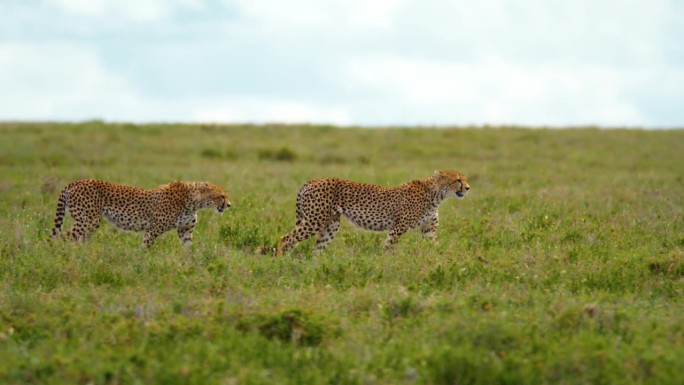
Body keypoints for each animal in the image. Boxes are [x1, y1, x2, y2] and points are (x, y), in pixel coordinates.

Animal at [50, 178, 231, 248]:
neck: (194, 201)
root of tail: (76, 182)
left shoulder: (185, 230)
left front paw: (194, 264)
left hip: (88, 224)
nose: (229, 205)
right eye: (221, 196)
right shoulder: (152, 229)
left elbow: (189, 249)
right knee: (60, 238)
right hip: (89, 221)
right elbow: (145, 247)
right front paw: (140, 262)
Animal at [276, 170, 468, 255]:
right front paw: (384, 263)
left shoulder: (428, 229)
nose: (468, 188)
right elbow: (388, 246)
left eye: (464, 179)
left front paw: (441, 260)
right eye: (458, 180)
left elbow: (435, 245)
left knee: (316, 249)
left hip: (331, 224)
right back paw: (281, 263)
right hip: (315, 221)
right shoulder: (399, 227)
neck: (436, 195)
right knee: (285, 239)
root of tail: (312, 180)